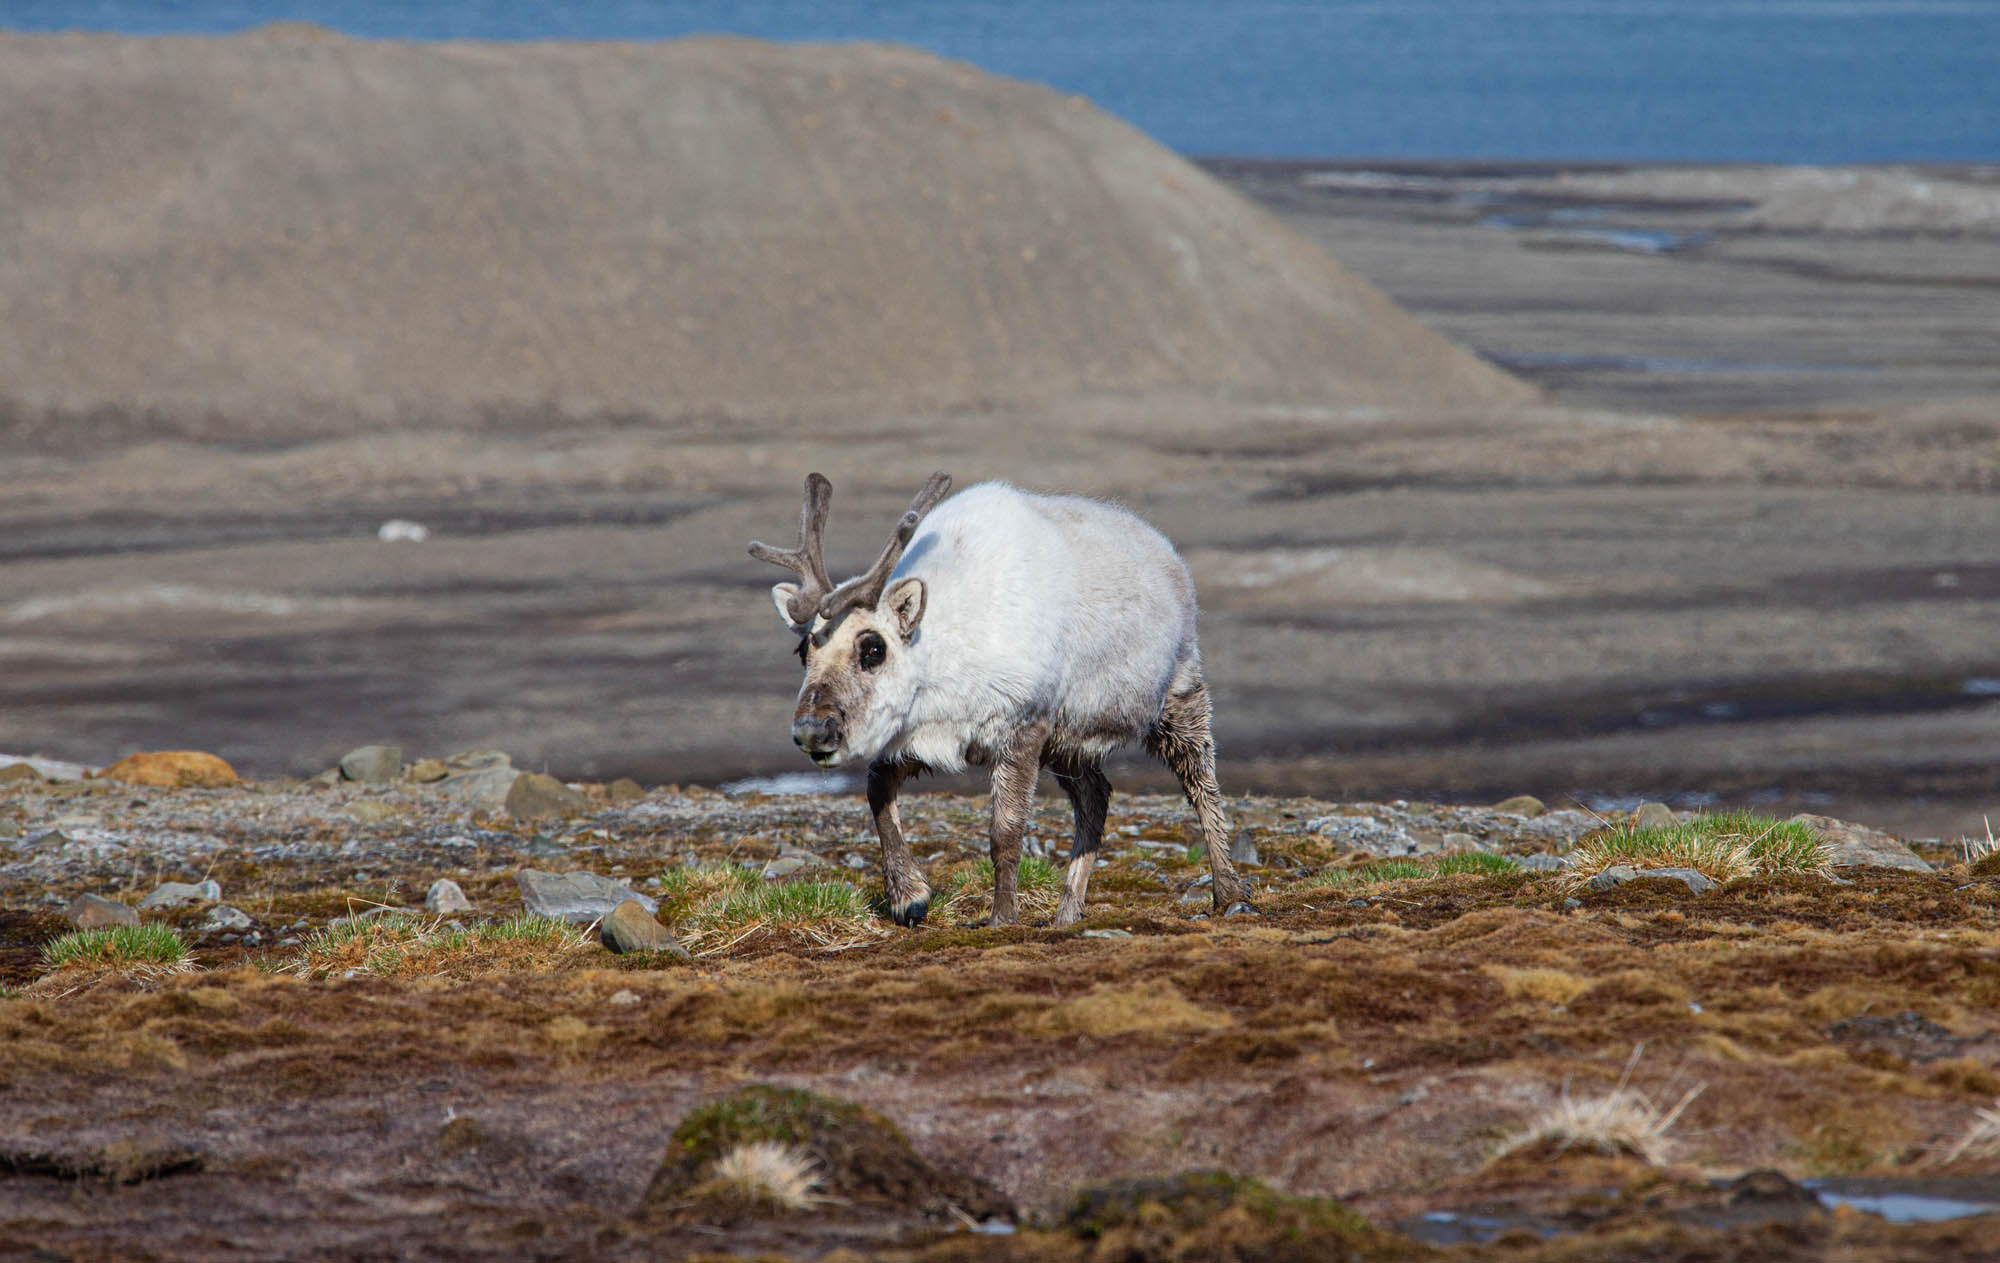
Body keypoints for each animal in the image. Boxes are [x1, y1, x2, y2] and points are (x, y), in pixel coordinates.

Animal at [749, 471, 1253, 928]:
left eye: (873, 648)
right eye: (803, 649)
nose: (811, 731)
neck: (943, 645)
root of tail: (1168, 555)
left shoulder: (1023, 727)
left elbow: (1004, 833)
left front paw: (1001, 917)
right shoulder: (921, 739)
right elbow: (876, 792)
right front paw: (909, 897)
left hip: (1179, 695)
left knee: (1201, 783)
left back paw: (1227, 894)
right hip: (1069, 745)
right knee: (1096, 797)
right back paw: (1068, 912)